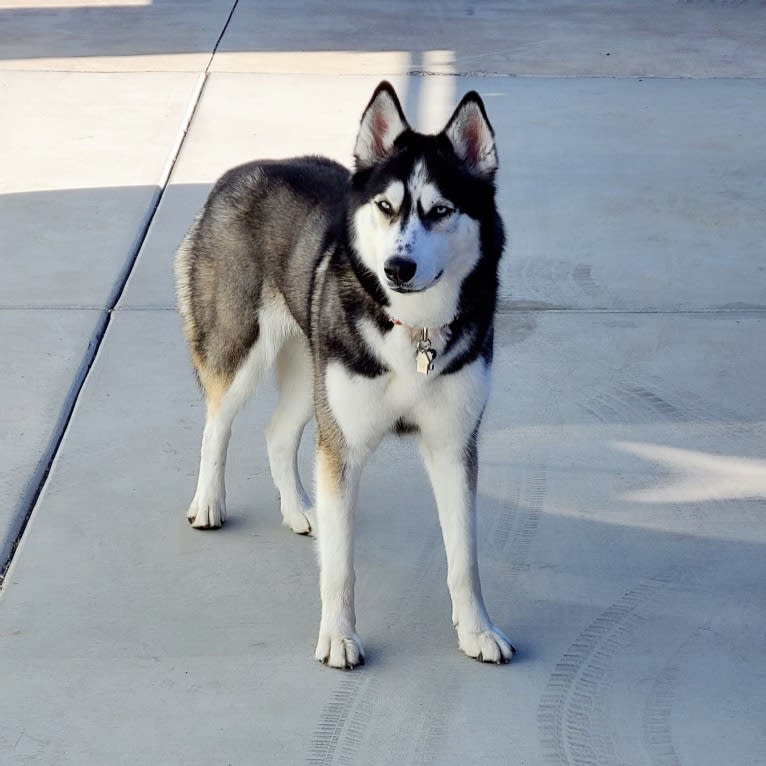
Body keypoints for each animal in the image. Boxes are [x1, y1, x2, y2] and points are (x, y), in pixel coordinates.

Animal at [176, 84, 516, 668]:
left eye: (441, 210)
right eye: (386, 207)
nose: (398, 268)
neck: (415, 331)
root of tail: (241, 171)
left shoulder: (453, 446)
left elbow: (464, 558)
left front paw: (476, 630)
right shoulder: (344, 448)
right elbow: (339, 565)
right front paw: (339, 637)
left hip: (311, 370)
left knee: (276, 432)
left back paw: (299, 509)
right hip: (240, 348)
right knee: (217, 424)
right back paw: (209, 503)